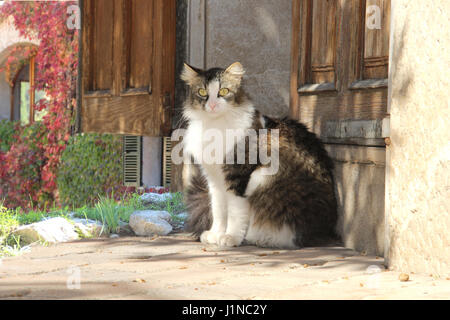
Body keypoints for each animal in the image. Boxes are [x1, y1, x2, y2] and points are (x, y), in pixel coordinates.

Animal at [179, 62, 338, 248]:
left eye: (224, 91)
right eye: (202, 92)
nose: (211, 105)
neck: (214, 125)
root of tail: (324, 232)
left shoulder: (238, 177)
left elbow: (234, 213)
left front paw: (230, 237)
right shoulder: (214, 180)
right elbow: (218, 210)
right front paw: (215, 234)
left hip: (262, 176)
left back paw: (257, 238)